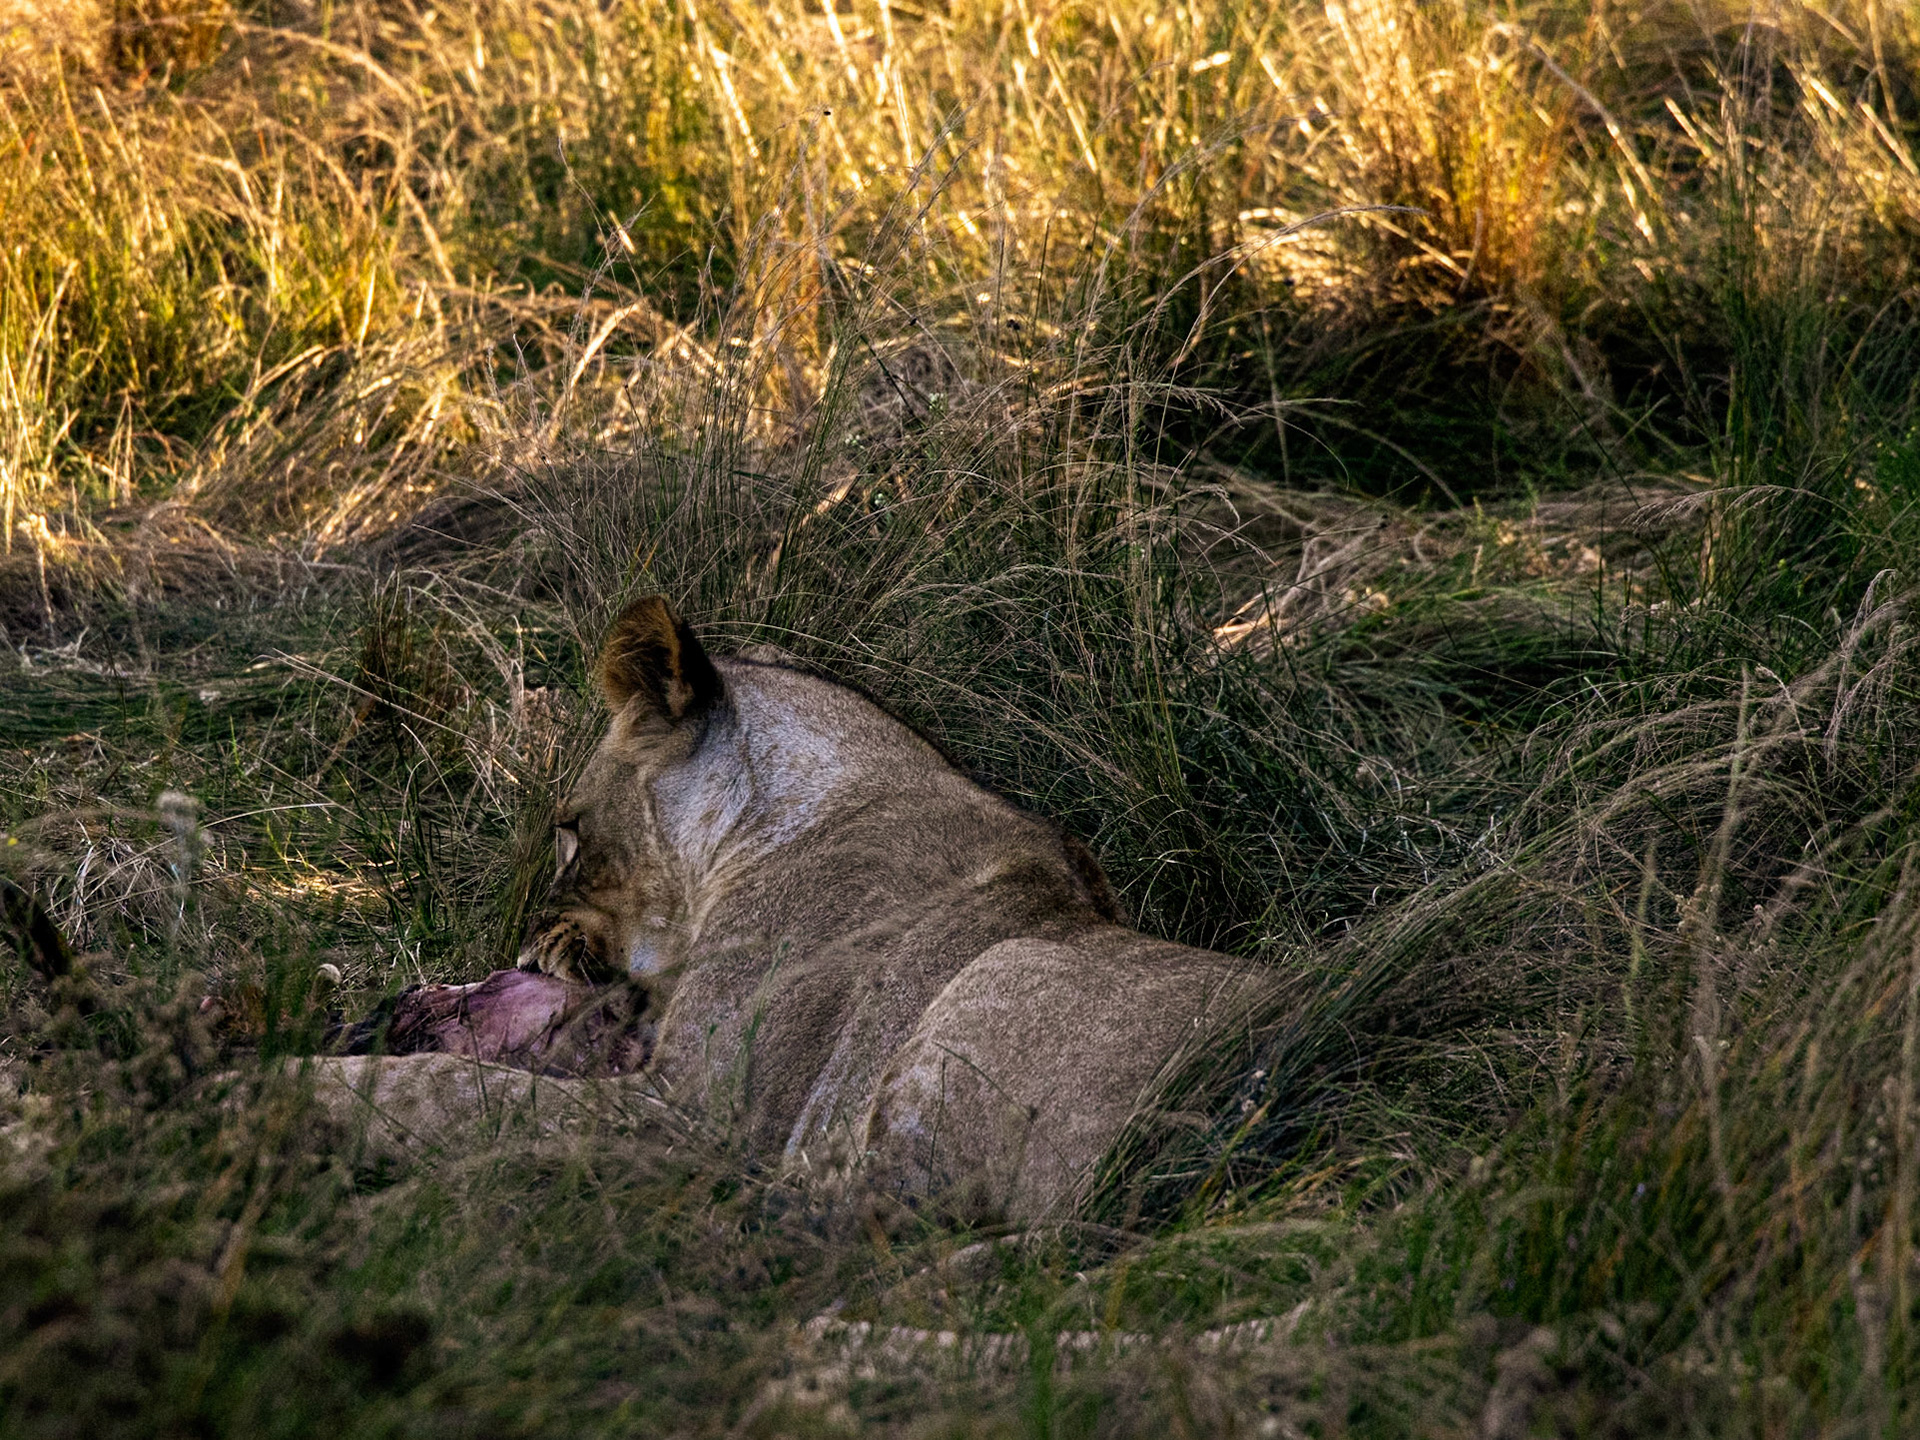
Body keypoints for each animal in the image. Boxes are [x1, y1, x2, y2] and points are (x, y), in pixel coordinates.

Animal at [320, 598, 1267, 1219]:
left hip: (1004, 970)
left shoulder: (697, 1109)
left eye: (567, 831)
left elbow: (454, 1087)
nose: (526, 947)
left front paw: (298, 1090)